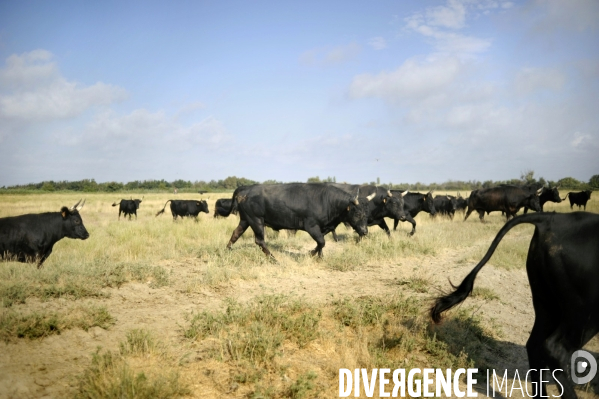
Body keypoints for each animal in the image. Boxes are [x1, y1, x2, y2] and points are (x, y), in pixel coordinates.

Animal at [224, 184, 370, 260]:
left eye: (366, 213)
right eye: (357, 213)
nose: (364, 231)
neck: (326, 201)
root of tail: (246, 188)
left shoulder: (322, 228)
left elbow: (321, 243)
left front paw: (320, 256)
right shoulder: (311, 226)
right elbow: (321, 242)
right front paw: (310, 254)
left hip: (245, 220)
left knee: (236, 233)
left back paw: (227, 251)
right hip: (256, 221)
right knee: (259, 241)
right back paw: (273, 259)